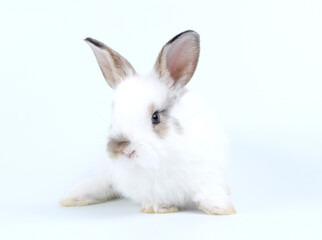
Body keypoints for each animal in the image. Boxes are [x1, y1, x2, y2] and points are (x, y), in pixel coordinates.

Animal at [60, 30, 235, 216]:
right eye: (113, 115)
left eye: (155, 117)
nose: (123, 148)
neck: (161, 159)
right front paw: (159, 207)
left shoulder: (206, 173)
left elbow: (207, 191)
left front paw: (222, 208)